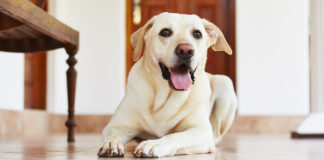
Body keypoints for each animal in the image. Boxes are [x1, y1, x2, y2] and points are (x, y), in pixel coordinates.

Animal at [97, 12, 237, 158]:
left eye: (197, 34)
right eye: (165, 32)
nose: (186, 50)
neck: (164, 98)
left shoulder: (201, 131)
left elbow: (176, 136)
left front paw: (153, 144)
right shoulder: (117, 125)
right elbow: (112, 133)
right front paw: (111, 143)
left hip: (225, 83)